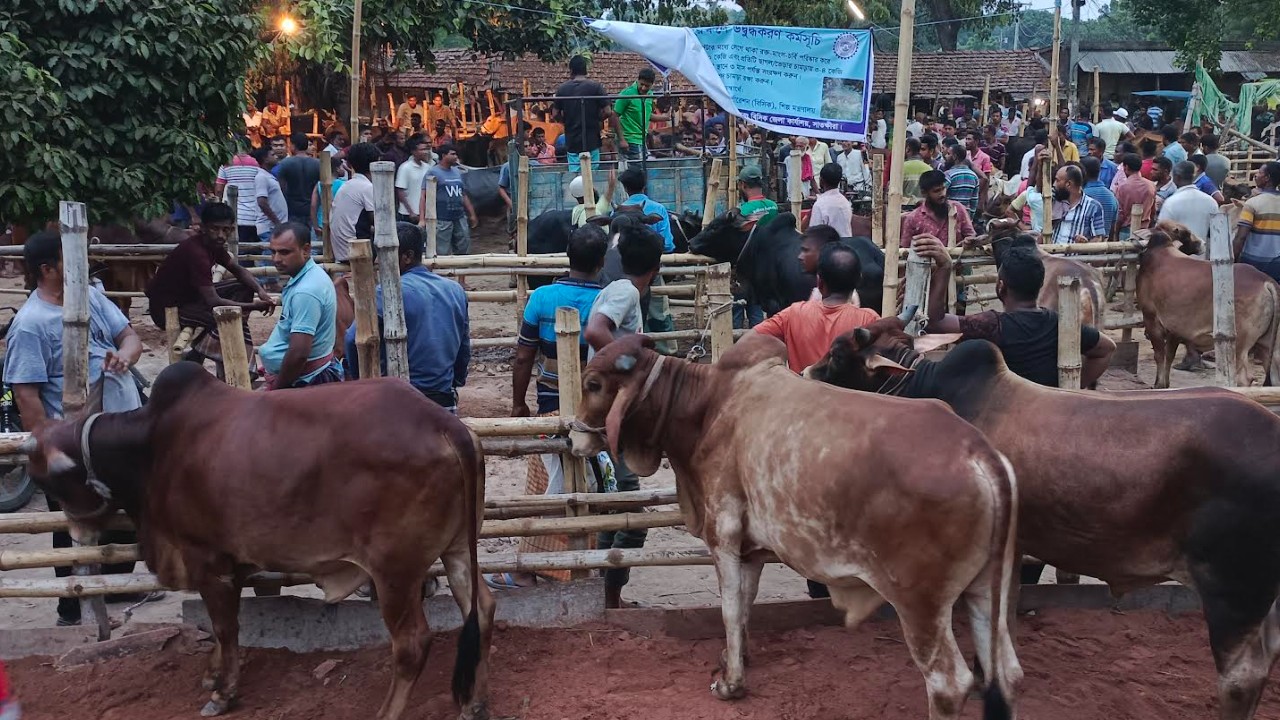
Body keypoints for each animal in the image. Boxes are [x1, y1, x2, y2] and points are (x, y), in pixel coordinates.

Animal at [26, 363, 494, 717]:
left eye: (46, 479)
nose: (77, 533)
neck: (152, 446)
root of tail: (445, 424)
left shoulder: (208, 559)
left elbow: (225, 626)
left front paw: (223, 692)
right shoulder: (226, 564)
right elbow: (220, 629)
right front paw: (213, 673)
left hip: (395, 570)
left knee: (412, 643)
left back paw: (388, 713)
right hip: (456, 550)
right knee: (482, 608)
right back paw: (473, 702)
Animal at [570, 333, 1018, 712]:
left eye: (593, 383)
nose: (574, 436)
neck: (707, 405)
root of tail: (980, 454)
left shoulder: (723, 533)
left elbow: (729, 609)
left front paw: (731, 684)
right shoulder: (751, 549)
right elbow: (745, 605)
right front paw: (735, 658)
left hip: (920, 603)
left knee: (949, 683)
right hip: (985, 589)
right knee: (1007, 673)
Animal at [1141, 220, 1280, 384]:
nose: (1202, 243)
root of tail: (1266, 282)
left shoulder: (1151, 318)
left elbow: (1160, 356)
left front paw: (1158, 385)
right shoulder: (1174, 329)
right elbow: (1168, 358)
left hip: (1238, 344)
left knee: (1244, 378)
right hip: (1269, 346)